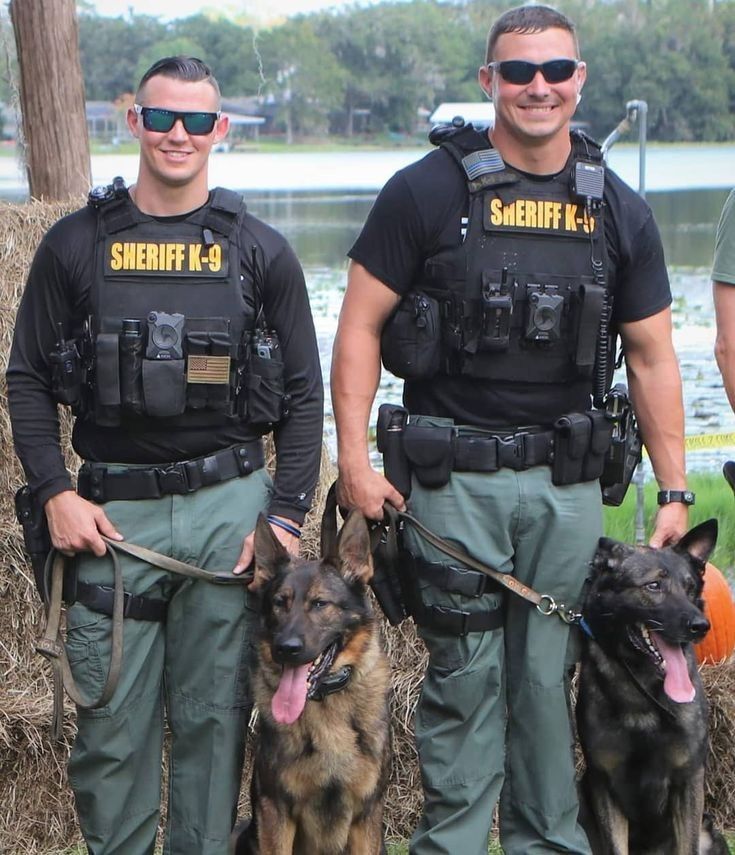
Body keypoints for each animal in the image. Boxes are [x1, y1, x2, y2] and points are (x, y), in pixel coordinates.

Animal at [233, 512, 394, 852]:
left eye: (320, 603)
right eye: (279, 602)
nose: (286, 648)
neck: (326, 706)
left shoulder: (366, 817)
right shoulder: (275, 811)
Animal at [580, 520, 732, 855]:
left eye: (690, 588)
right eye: (653, 586)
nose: (701, 627)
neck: (644, 695)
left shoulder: (688, 782)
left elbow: (687, 846)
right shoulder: (604, 785)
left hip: (709, 833)